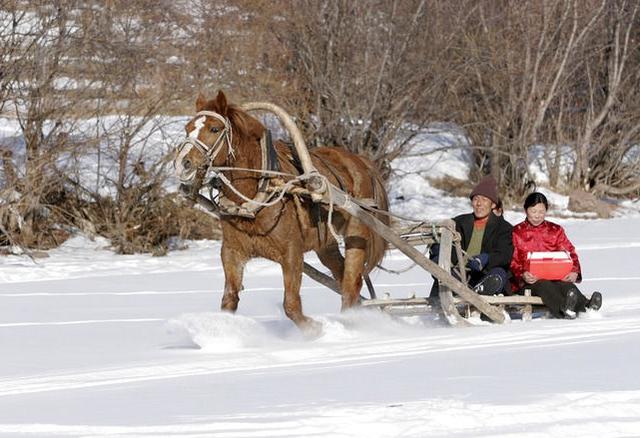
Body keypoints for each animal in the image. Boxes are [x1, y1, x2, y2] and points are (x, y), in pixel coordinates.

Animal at [172, 90, 388, 336]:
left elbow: (291, 305)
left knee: (351, 284)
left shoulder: (291, 253)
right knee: (343, 279)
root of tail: (360, 162)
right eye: (187, 128)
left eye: (214, 129)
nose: (183, 163)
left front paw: (316, 330)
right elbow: (229, 300)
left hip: (356, 234)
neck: (258, 192)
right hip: (326, 244)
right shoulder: (232, 252)